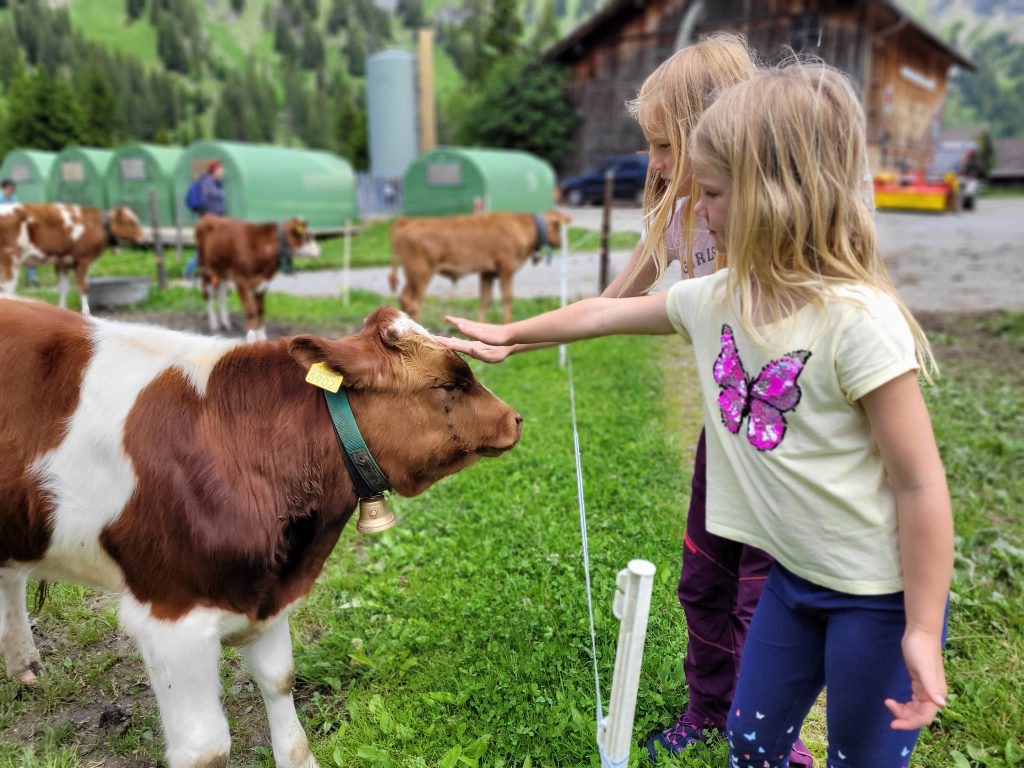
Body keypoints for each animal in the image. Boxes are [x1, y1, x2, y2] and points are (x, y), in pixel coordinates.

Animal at [0, 204, 146, 315]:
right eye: (130, 223)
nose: (145, 236)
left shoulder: (62, 263)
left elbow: (63, 288)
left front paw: (62, 309)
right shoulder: (83, 261)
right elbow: (84, 288)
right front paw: (86, 313)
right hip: (10, 261)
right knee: (7, 290)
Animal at [0, 299, 524, 768]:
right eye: (449, 384)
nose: (515, 418)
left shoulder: (270, 592)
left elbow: (280, 680)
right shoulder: (172, 615)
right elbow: (205, 749)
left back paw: (24, 664)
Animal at [192, 211, 319, 342]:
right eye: (308, 235)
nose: (319, 251)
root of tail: (208, 215)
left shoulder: (263, 283)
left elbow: (260, 311)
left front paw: (262, 338)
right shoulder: (241, 281)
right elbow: (250, 312)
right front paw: (251, 338)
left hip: (222, 271)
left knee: (222, 295)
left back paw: (226, 324)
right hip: (204, 267)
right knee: (207, 294)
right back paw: (214, 324)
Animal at [387, 208, 573, 323]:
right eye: (559, 226)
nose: (568, 242)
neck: (520, 226)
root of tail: (407, 221)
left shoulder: (487, 272)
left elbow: (485, 300)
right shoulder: (506, 266)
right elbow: (507, 297)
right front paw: (508, 322)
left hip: (412, 275)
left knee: (403, 299)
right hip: (420, 273)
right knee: (412, 302)